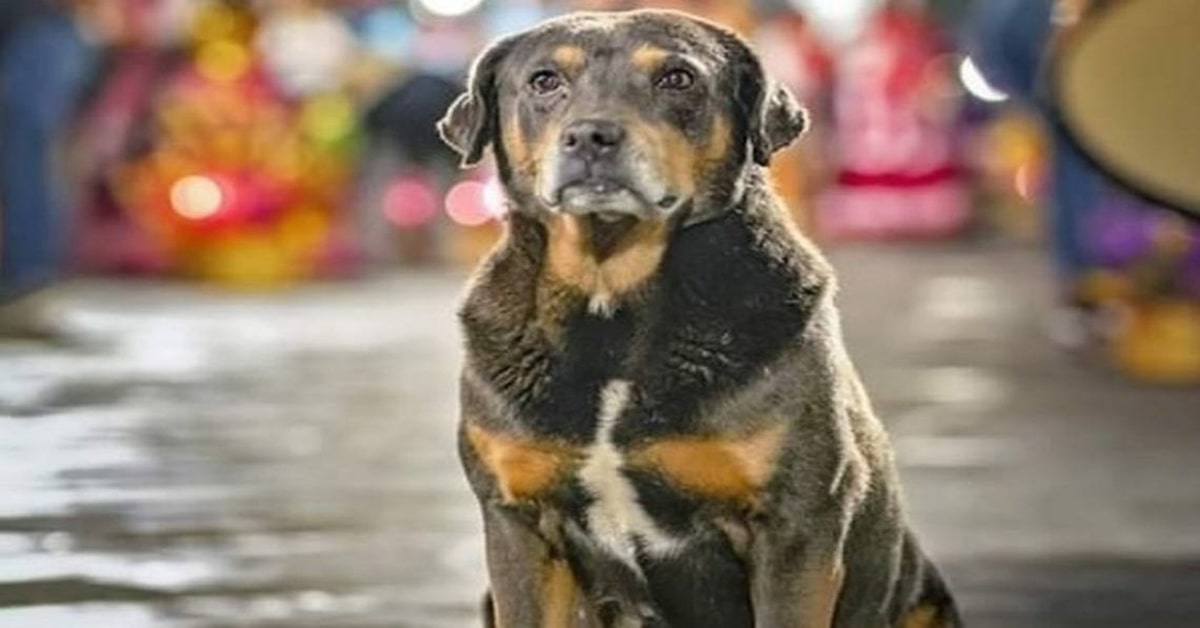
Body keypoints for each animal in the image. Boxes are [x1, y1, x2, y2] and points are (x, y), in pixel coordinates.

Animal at [436, 9, 960, 628]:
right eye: (544, 81)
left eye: (677, 78)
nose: (591, 136)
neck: (611, 307)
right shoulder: (518, 525)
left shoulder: (795, 528)